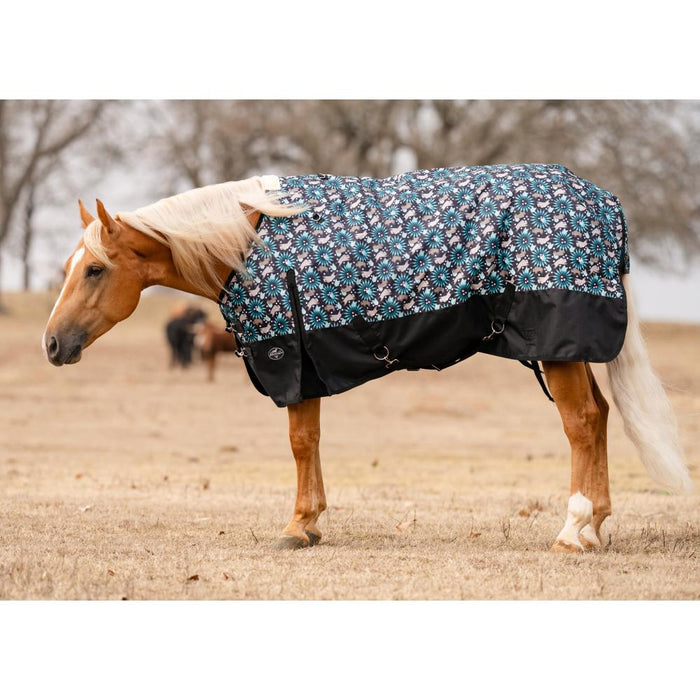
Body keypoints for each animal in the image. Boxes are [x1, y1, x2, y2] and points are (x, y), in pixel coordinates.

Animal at [41, 166, 692, 552]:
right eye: (70, 267)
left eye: (94, 269)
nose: (51, 344)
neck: (249, 240)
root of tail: (604, 202)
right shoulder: (308, 362)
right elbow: (311, 441)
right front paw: (310, 523)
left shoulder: (289, 355)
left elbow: (299, 441)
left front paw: (297, 527)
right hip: (565, 351)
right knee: (599, 418)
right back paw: (597, 527)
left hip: (557, 348)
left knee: (581, 424)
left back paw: (574, 530)